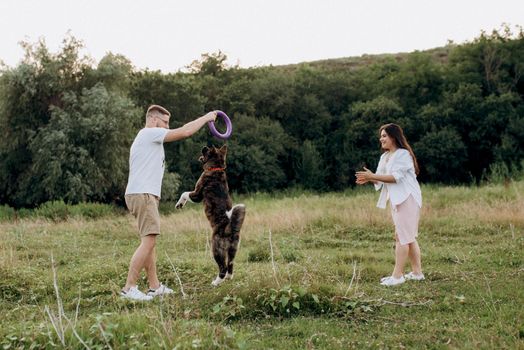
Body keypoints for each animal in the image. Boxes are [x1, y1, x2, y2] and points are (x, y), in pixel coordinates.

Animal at [176, 146, 246, 286]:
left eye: (208, 150)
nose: (204, 147)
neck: (216, 169)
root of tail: (230, 229)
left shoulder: (197, 194)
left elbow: (184, 193)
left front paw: (180, 203)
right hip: (233, 250)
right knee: (230, 265)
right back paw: (228, 278)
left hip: (216, 249)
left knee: (223, 267)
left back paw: (216, 282)